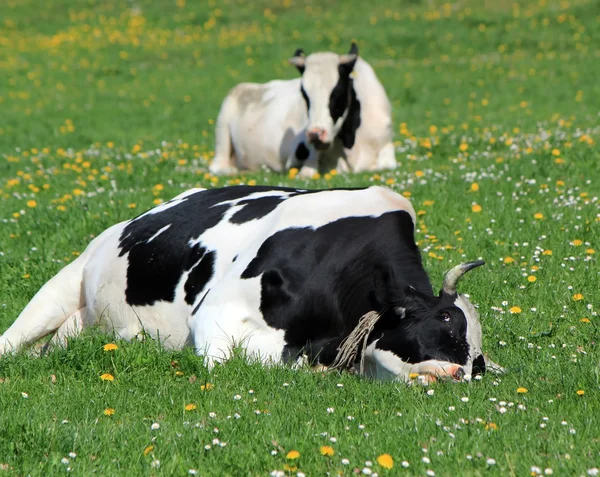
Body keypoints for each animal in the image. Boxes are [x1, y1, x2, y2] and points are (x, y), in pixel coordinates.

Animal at [0, 184, 500, 382]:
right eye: (443, 324)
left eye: (477, 363)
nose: (457, 375)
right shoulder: (215, 317)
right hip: (65, 281)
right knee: (14, 337)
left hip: (78, 323)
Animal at [209, 42, 396, 178]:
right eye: (304, 93)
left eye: (337, 91)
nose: (315, 134)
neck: (351, 139)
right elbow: (307, 172)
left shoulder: (387, 151)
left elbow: (384, 166)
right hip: (222, 128)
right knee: (218, 166)